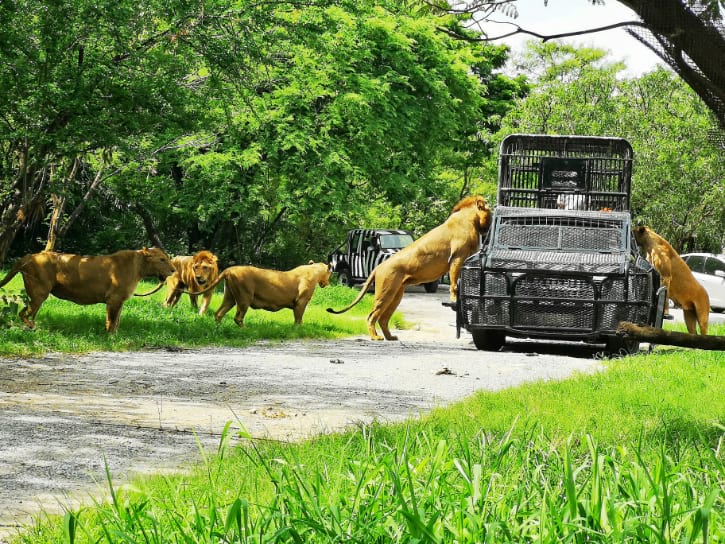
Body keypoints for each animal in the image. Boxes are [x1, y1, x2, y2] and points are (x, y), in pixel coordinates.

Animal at [0, 246, 174, 332]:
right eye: (162, 259)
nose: (173, 270)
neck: (139, 268)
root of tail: (30, 255)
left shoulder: (118, 301)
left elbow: (116, 321)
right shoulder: (114, 299)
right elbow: (112, 321)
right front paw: (111, 338)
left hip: (37, 297)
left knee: (28, 314)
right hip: (39, 293)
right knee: (23, 314)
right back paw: (34, 328)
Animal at [187, 260, 334, 326]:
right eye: (330, 273)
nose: (327, 283)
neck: (314, 271)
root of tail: (229, 269)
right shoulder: (300, 302)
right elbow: (298, 320)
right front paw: (298, 330)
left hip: (230, 297)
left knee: (219, 313)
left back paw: (220, 328)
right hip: (244, 298)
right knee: (238, 318)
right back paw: (247, 329)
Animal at [328, 196, 492, 340]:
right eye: (490, 213)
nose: (489, 227)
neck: (470, 220)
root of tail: (378, 267)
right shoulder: (457, 258)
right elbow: (453, 283)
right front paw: (454, 297)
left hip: (396, 294)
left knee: (383, 318)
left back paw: (390, 337)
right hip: (385, 292)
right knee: (371, 316)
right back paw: (375, 337)